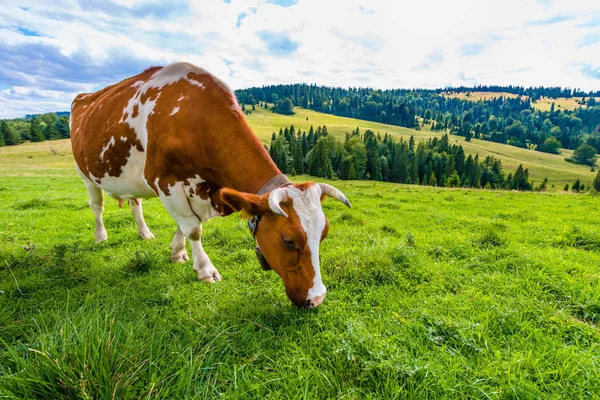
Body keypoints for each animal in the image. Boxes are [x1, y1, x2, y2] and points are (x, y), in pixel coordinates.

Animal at [70, 61, 352, 310]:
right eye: (288, 241)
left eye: (323, 234)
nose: (316, 299)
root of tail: (84, 97)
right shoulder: (165, 182)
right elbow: (193, 229)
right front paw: (205, 270)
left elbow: (183, 227)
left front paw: (177, 253)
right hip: (85, 173)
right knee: (97, 207)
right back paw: (100, 236)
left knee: (134, 202)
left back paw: (144, 233)